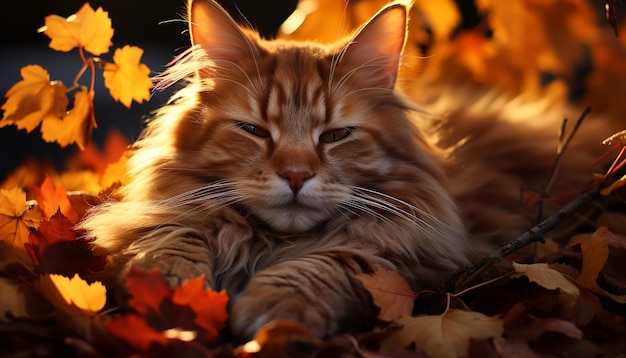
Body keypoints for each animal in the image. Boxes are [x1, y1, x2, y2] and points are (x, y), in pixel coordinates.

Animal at [78, 0, 616, 340]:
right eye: (254, 131)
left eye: (337, 136)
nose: (296, 176)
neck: (272, 243)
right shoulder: (172, 211)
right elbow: (175, 231)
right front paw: (169, 287)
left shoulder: (415, 253)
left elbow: (333, 259)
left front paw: (275, 309)